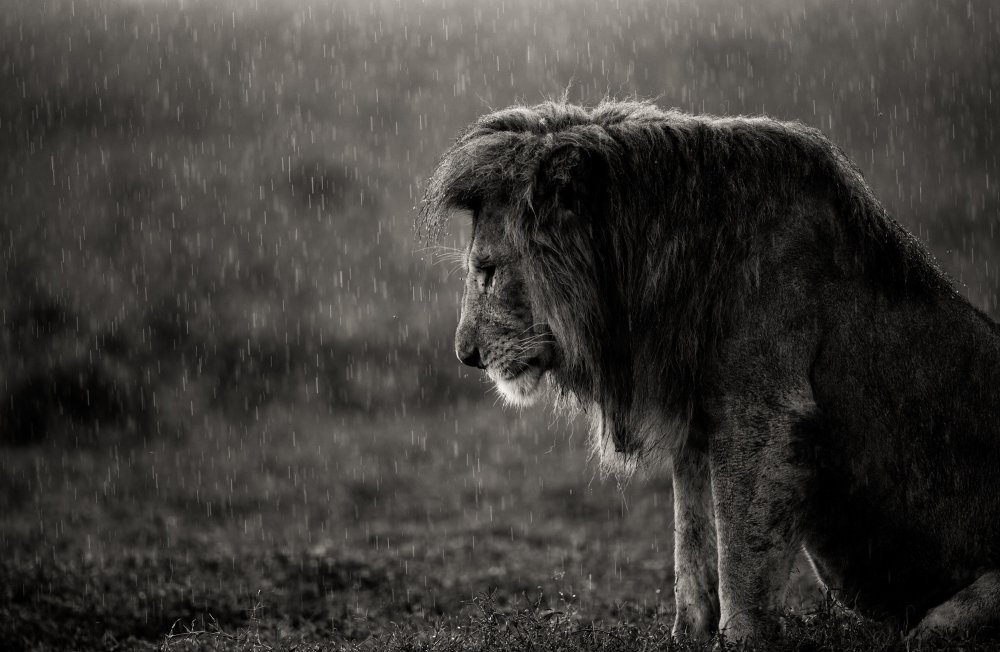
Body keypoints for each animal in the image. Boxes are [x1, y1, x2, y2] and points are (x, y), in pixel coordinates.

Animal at [418, 99, 1000, 644]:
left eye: (488, 271)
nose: (465, 355)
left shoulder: (764, 416)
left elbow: (740, 555)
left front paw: (740, 638)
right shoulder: (697, 420)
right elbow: (692, 542)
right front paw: (686, 635)